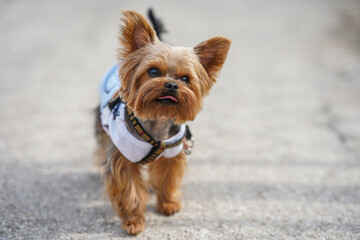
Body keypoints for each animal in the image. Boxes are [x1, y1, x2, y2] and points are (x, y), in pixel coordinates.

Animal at [95, 8, 231, 234]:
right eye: (153, 71)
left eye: (185, 79)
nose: (171, 85)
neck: (158, 118)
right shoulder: (123, 158)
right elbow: (130, 190)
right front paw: (134, 221)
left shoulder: (172, 154)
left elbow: (168, 178)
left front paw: (168, 204)